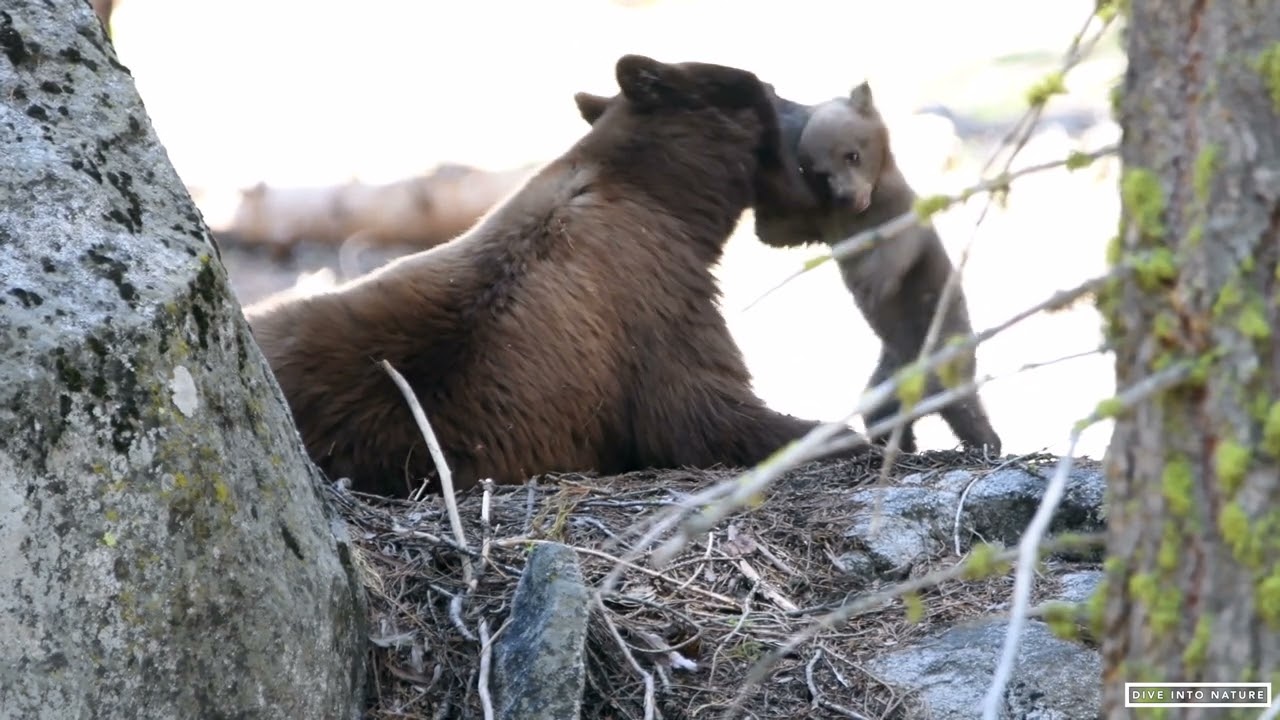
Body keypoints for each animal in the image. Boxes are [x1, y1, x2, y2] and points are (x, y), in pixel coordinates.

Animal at [245, 54, 870, 498]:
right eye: (768, 89)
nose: (815, 114)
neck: (655, 193)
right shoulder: (653, 297)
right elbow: (701, 410)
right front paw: (836, 433)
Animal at [752, 82, 1002, 455]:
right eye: (819, 173)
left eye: (852, 155)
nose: (848, 198)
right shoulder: (821, 220)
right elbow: (776, 233)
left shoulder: (901, 217)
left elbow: (888, 262)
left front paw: (867, 282)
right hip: (888, 375)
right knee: (881, 411)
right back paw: (897, 444)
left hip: (943, 357)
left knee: (965, 409)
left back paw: (986, 445)